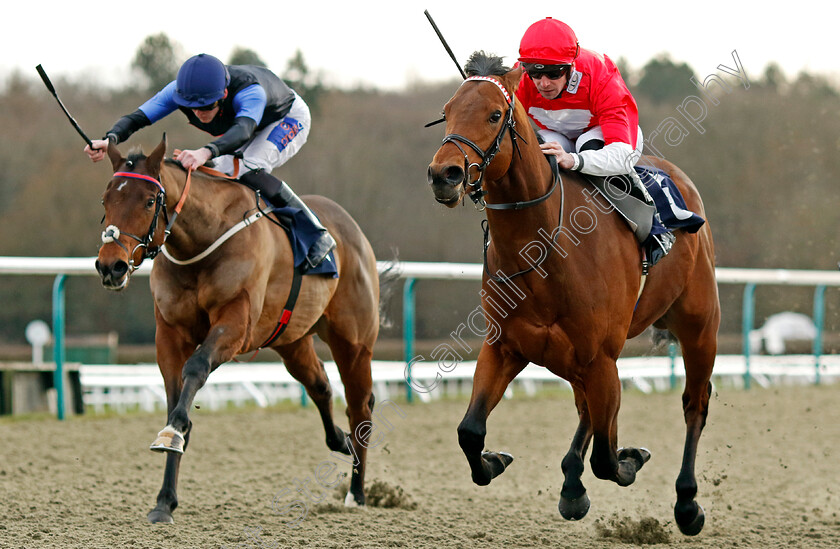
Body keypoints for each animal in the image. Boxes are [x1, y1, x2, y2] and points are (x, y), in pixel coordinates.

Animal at [95, 134, 380, 524]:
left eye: (150, 200)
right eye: (106, 199)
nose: (111, 266)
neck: (202, 240)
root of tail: (354, 231)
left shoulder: (235, 323)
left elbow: (196, 368)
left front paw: (174, 431)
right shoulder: (169, 332)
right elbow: (174, 396)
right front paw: (164, 500)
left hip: (353, 341)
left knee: (360, 405)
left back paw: (357, 493)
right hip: (291, 340)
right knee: (320, 386)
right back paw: (340, 441)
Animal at [430, 55, 720, 536]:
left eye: (494, 114)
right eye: (447, 111)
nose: (444, 175)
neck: (544, 247)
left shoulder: (601, 356)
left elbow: (606, 456)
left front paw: (631, 458)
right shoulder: (506, 346)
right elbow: (469, 431)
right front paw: (495, 460)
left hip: (699, 328)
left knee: (694, 405)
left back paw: (687, 503)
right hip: (575, 357)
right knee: (587, 408)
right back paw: (571, 485)